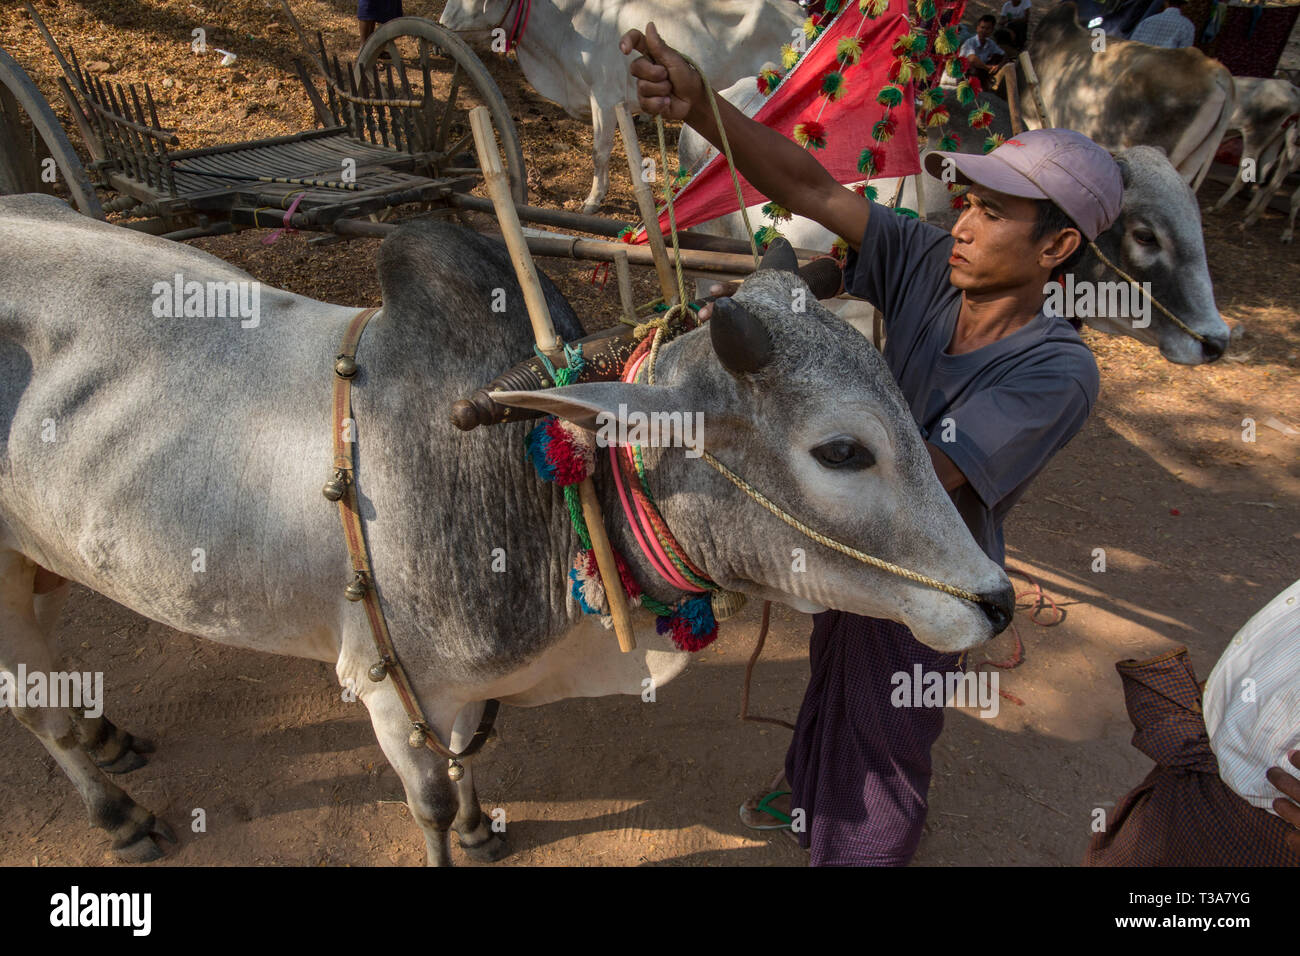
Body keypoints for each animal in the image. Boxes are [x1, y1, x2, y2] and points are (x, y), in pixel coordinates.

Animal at [436, 0, 800, 213]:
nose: (439, 26)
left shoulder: (604, 96)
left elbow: (599, 152)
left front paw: (592, 200)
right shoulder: (623, 102)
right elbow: (633, 154)